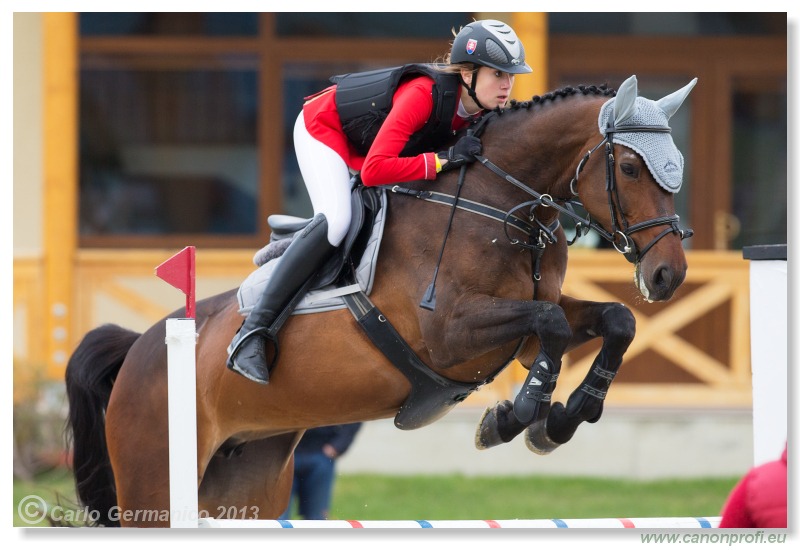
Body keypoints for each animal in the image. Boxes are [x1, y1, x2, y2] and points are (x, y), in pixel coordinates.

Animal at [65, 75, 696, 528]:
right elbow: (552, 327)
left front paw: (564, 418)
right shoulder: (451, 334)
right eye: (631, 166)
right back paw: (250, 349)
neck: (499, 204)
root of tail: (139, 348)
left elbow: (615, 320)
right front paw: (513, 418)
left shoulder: (520, 336)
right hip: (157, 481)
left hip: (247, 482)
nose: (668, 275)